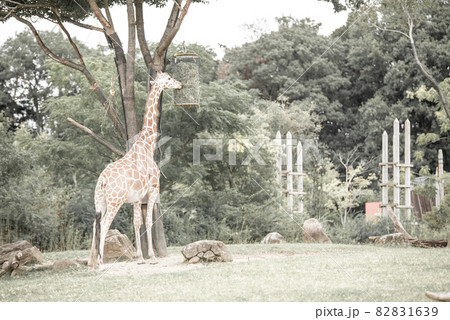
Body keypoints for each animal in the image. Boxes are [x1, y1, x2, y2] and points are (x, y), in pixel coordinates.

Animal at [89, 71, 182, 268]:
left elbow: (136, 222)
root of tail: (102, 180)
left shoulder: (137, 198)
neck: (148, 144)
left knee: (95, 224)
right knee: (105, 224)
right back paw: (101, 262)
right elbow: (148, 221)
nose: (180, 84)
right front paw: (152, 257)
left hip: (99, 200)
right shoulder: (153, 189)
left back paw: (90, 262)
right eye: (169, 78)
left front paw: (140, 257)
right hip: (115, 200)